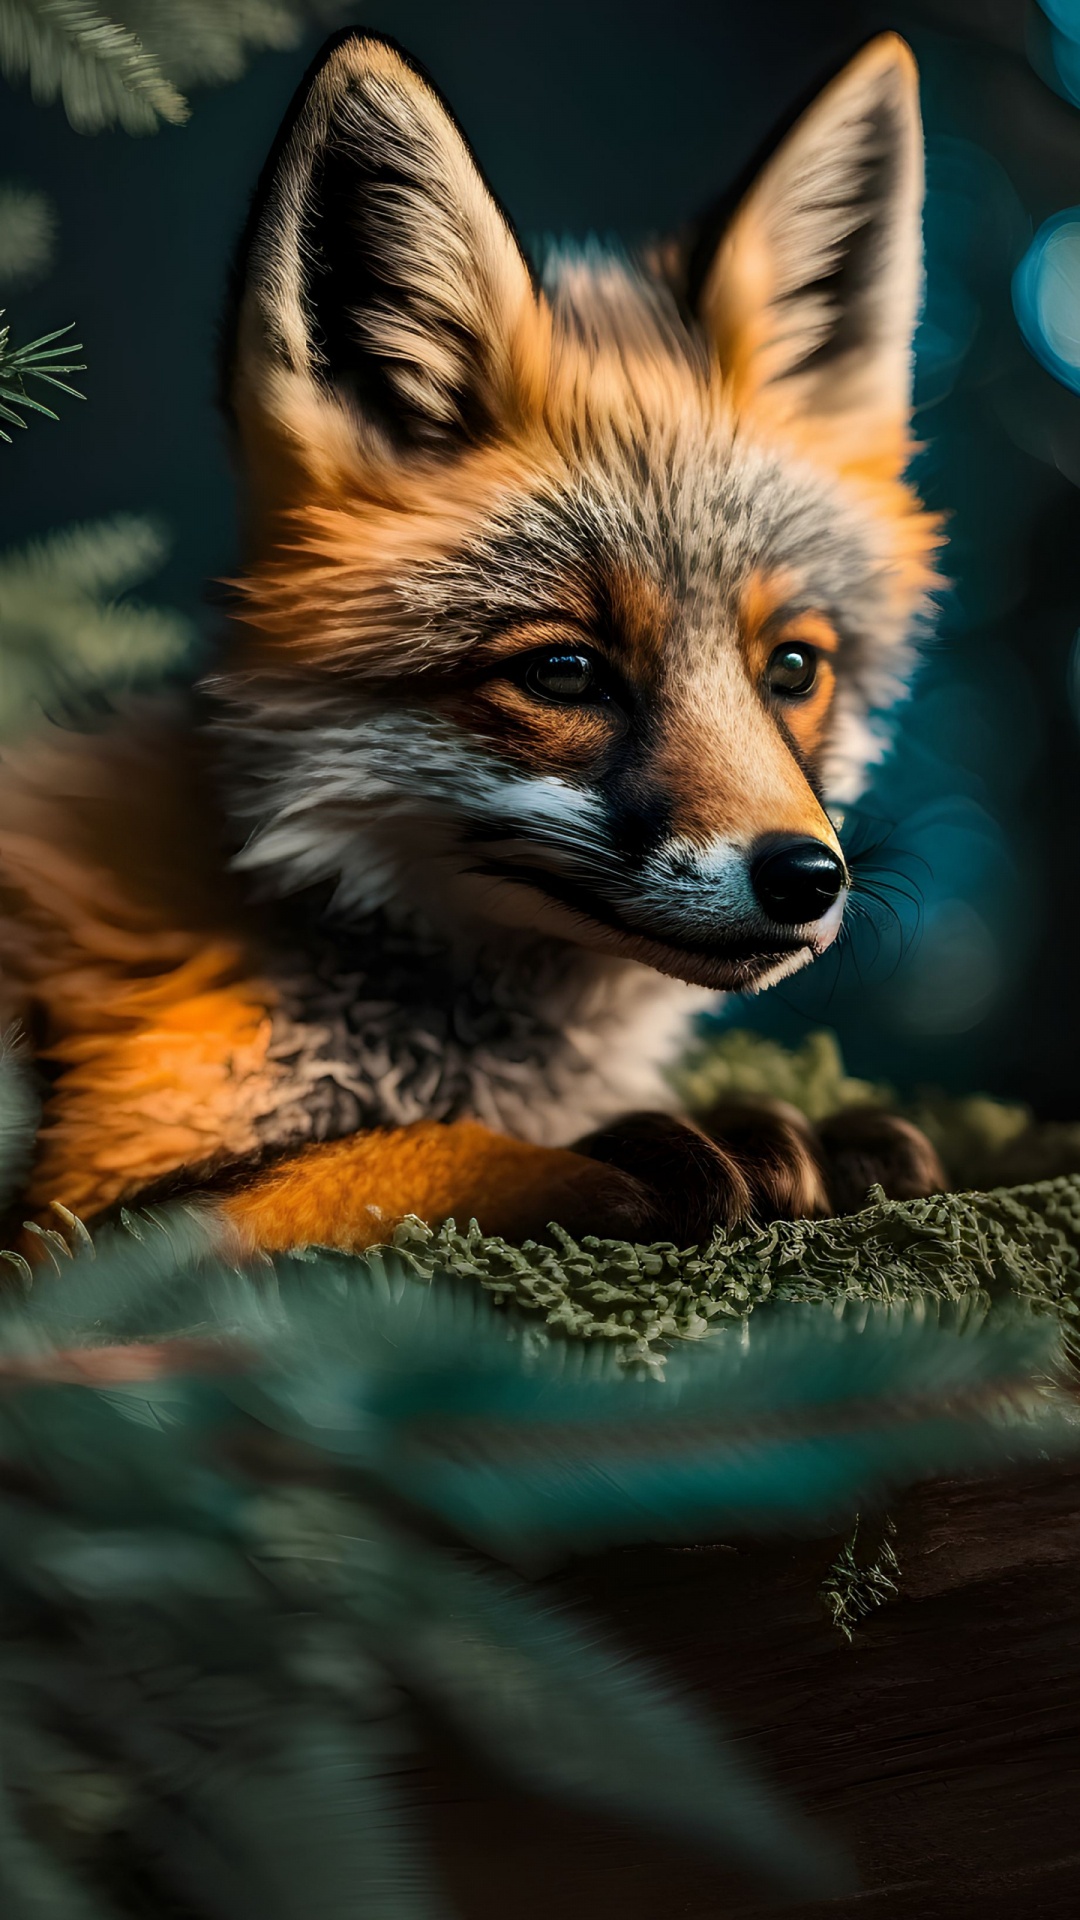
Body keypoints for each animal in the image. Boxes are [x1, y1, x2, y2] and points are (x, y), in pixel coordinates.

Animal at [0, 28, 948, 1262]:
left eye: (792, 668)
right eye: (564, 671)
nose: (806, 879)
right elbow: (418, 1150)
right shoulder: (81, 1238)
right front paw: (650, 1153)